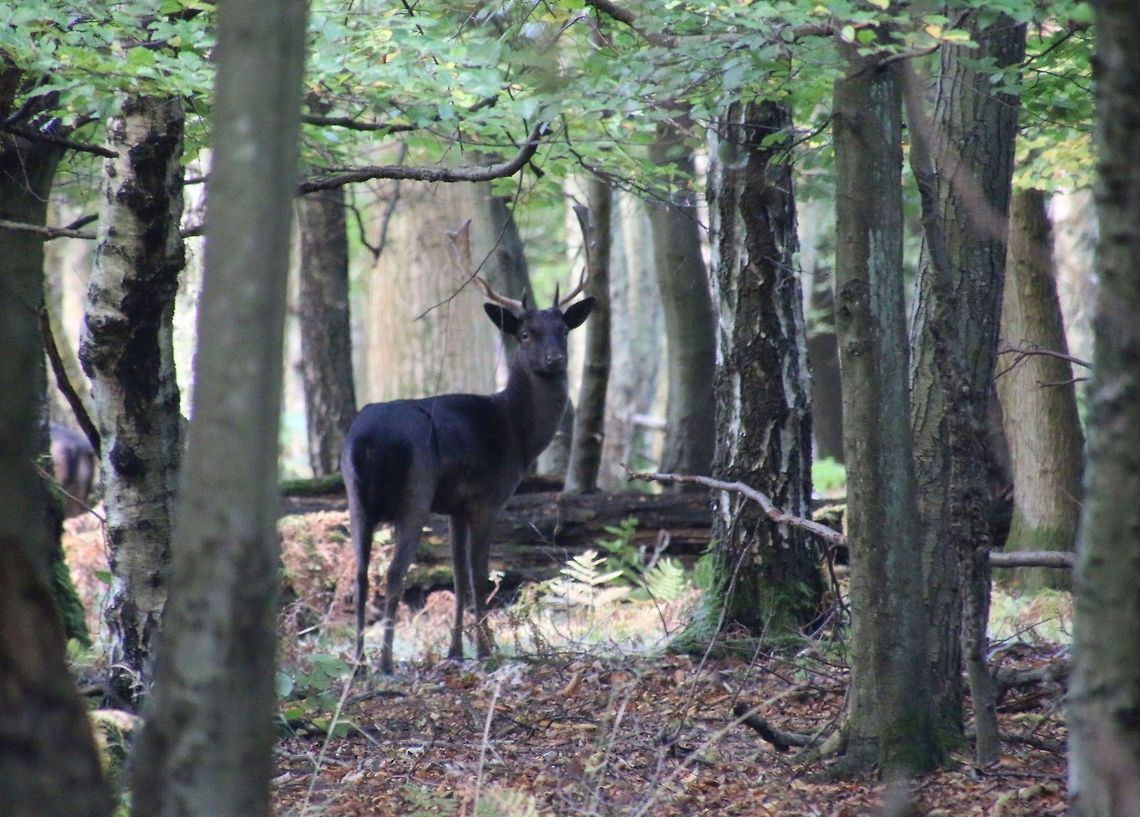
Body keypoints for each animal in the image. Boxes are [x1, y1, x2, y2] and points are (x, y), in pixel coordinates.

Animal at [341, 223, 594, 674]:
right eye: (525, 334)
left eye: (564, 331)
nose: (554, 359)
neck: (516, 434)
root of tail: (368, 439)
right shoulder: (486, 498)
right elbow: (479, 576)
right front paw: (486, 651)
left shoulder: (455, 507)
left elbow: (457, 578)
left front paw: (456, 651)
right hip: (415, 490)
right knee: (394, 572)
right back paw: (385, 663)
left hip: (354, 494)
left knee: (360, 572)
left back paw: (357, 662)